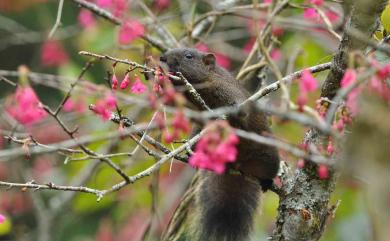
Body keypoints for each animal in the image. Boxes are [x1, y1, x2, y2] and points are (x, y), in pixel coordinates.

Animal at [159, 48, 280, 241]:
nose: (163, 57)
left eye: (189, 57)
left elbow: (241, 111)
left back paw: (267, 181)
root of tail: (237, 165)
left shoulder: (225, 89)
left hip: (269, 159)